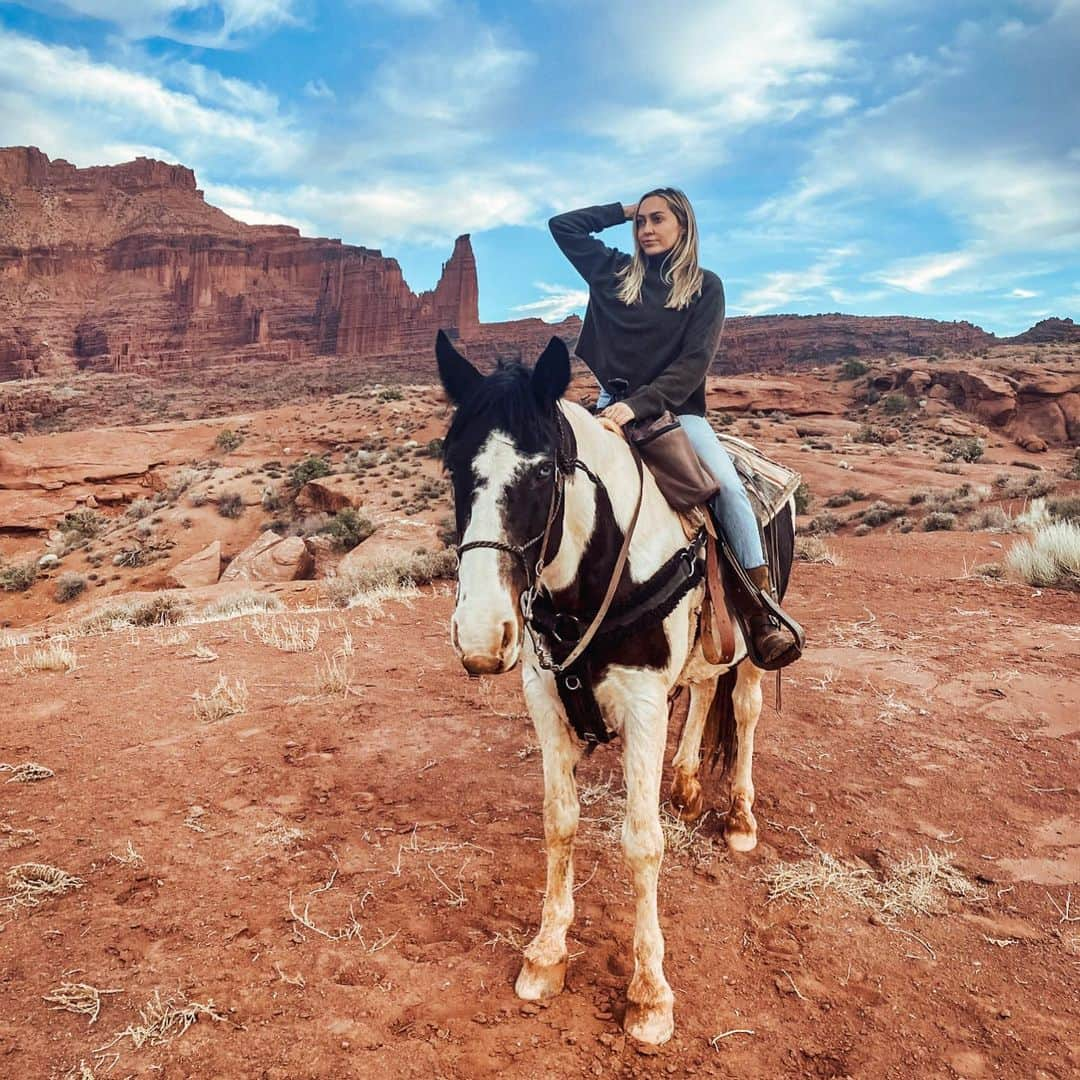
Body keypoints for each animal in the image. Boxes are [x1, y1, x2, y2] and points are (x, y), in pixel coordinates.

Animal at [434, 330, 799, 1045]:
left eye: (541, 472)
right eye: (453, 467)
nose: (481, 634)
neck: (599, 572)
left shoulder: (645, 704)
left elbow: (640, 842)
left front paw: (650, 995)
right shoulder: (546, 700)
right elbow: (560, 824)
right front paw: (545, 955)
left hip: (754, 646)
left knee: (743, 708)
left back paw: (739, 818)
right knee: (705, 692)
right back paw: (686, 783)